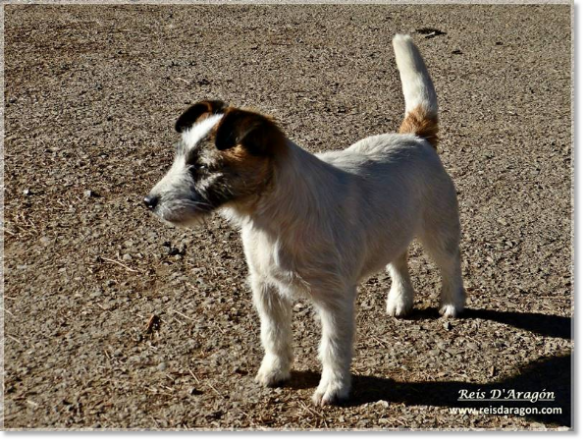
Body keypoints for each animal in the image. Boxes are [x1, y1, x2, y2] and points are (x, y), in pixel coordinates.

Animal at [144, 34, 464, 406]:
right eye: (181, 158)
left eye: (202, 167)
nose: (149, 202)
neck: (272, 218)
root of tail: (415, 137)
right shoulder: (265, 287)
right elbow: (274, 334)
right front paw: (275, 370)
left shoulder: (334, 298)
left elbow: (333, 346)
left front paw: (333, 387)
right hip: (393, 228)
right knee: (397, 261)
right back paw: (401, 299)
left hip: (439, 230)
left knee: (450, 264)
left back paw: (452, 303)